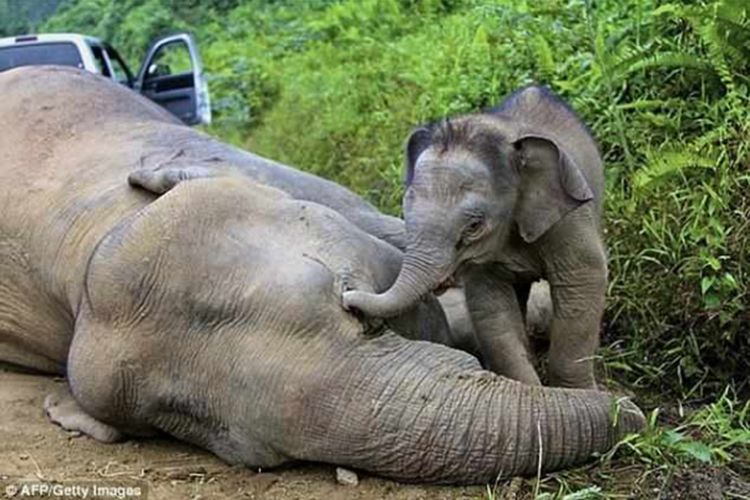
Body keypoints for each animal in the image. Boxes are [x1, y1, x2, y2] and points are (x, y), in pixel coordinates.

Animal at [346, 86, 604, 388]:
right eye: (404, 211)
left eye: (474, 226)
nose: (347, 298)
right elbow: (490, 305)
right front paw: (529, 388)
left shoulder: (569, 218)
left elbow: (583, 280)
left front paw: (577, 392)